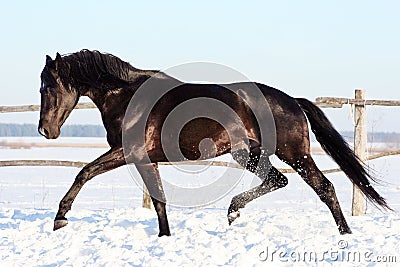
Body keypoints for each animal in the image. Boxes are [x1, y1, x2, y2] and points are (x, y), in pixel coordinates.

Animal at [39, 49, 390, 237]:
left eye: (48, 87)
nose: (45, 131)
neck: (128, 98)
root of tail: (291, 100)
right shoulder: (146, 158)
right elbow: (159, 200)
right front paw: (165, 236)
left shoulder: (127, 152)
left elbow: (84, 172)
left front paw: (60, 218)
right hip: (250, 153)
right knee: (281, 181)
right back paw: (234, 212)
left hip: (291, 152)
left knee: (321, 186)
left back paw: (344, 233)